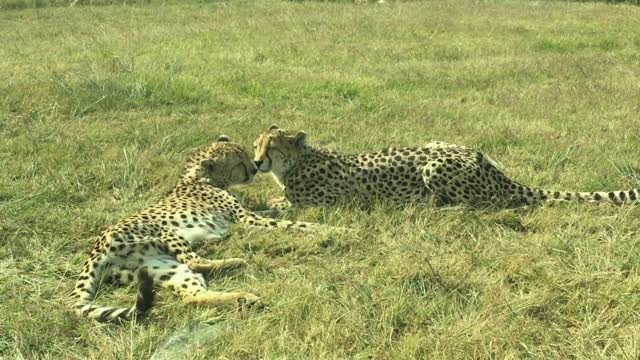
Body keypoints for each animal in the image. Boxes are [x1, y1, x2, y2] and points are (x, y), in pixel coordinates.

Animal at [72, 136, 320, 322]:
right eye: (239, 162)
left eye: (245, 154)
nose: (254, 169)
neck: (198, 177)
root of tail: (95, 249)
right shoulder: (246, 219)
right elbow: (288, 223)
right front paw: (324, 228)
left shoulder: (247, 214)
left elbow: (275, 212)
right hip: (165, 233)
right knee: (194, 261)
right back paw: (237, 262)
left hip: (160, 268)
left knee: (193, 295)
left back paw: (243, 297)